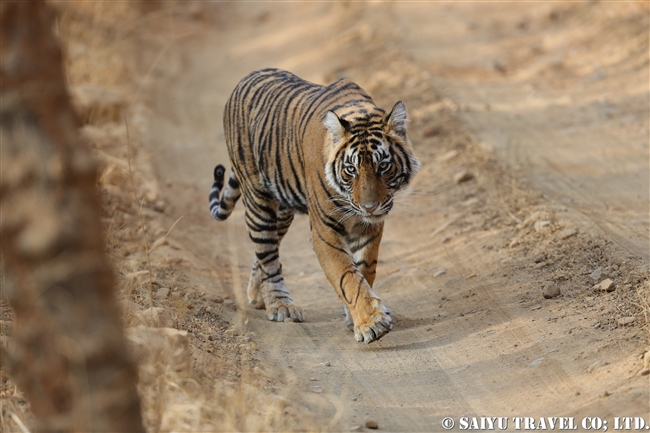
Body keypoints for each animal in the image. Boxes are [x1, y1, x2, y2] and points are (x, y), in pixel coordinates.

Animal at [208, 67, 420, 342]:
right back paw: (280, 305)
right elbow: (347, 276)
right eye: (350, 169)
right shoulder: (325, 231)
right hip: (258, 200)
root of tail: (248, 76)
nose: (369, 208)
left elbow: (365, 270)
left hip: (283, 210)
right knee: (267, 253)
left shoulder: (370, 228)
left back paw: (257, 296)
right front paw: (371, 323)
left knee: (265, 249)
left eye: (383, 166)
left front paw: (356, 316)